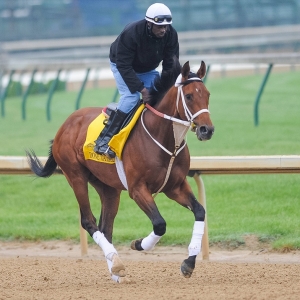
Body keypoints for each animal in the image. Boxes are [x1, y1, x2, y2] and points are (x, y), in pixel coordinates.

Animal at [25, 59, 213, 284]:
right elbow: (160, 223)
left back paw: (114, 268)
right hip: (75, 176)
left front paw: (189, 262)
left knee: (106, 227)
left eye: (207, 94)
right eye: (189, 96)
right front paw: (138, 244)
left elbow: (200, 211)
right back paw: (116, 263)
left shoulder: (175, 186)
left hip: (108, 187)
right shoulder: (137, 189)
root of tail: (64, 126)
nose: (207, 130)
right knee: (89, 221)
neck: (166, 140)